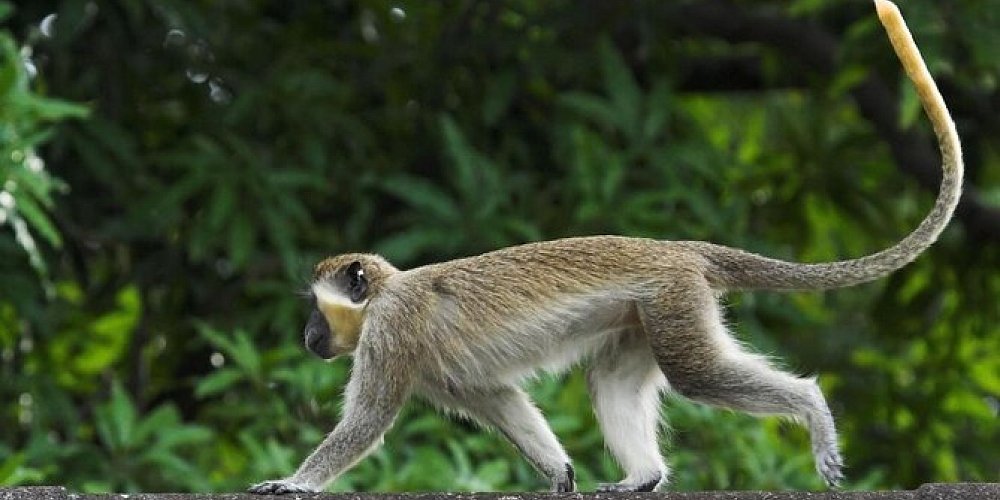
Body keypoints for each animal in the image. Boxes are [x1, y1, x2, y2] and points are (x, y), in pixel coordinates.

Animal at [248, 0, 960, 492]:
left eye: (314, 307)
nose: (308, 335)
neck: (387, 294)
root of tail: (679, 249)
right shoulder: (435, 367)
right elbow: (499, 400)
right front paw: (559, 472)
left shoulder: (393, 333)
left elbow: (365, 423)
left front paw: (294, 483)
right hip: (646, 314)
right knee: (612, 380)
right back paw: (642, 478)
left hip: (672, 300)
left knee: (696, 374)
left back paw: (811, 411)